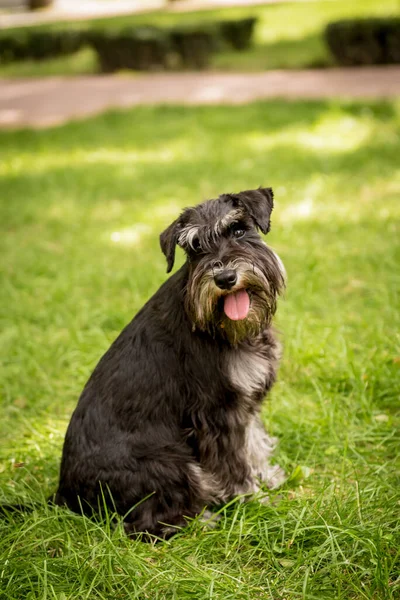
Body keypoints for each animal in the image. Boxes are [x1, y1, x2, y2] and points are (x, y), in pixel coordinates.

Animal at [54, 186, 288, 540]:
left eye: (238, 230)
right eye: (194, 248)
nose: (225, 277)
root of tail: (65, 496)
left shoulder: (244, 405)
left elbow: (252, 443)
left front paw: (267, 476)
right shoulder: (217, 413)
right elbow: (234, 461)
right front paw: (251, 498)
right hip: (171, 461)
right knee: (143, 525)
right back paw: (203, 519)